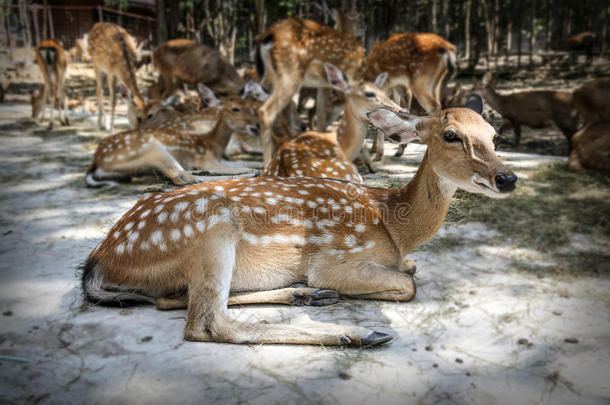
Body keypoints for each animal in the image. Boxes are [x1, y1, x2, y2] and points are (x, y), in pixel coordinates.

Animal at [84, 86, 258, 187]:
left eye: (249, 106)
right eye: (235, 108)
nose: (256, 127)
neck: (213, 144)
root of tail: (96, 161)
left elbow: (244, 163)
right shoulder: (205, 159)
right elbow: (242, 166)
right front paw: (254, 170)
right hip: (152, 149)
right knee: (183, 178)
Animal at [254, 17, 364, 166]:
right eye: (355, 19)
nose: (362, 28)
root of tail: (267, 35)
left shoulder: (324, 85)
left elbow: (321, 114)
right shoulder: (349, 77)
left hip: (271, 77)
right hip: (290, 75)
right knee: (266, 111)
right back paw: (267, 163)